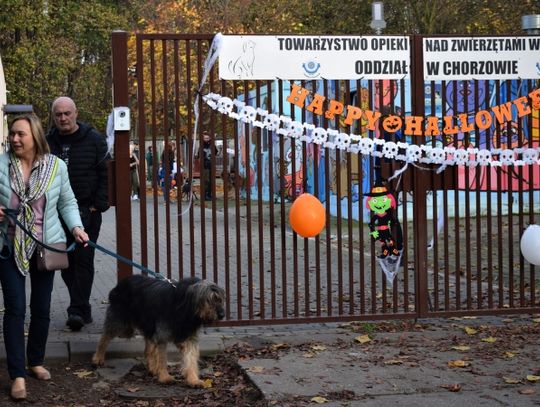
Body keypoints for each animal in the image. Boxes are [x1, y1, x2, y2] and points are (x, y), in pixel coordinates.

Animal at [92, 276, 225, 388]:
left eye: (220, 299)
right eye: (210, 299)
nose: (222, 315)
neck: (184, 306)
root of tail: (122, 281)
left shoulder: (188, 338)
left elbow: (190, 358)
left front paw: (193, 379)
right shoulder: (162, 336)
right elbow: (162, 358)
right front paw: (165, 377)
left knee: (148, 348)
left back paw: (152, 367)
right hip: (120, 322)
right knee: (105, 337)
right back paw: (98, 358)